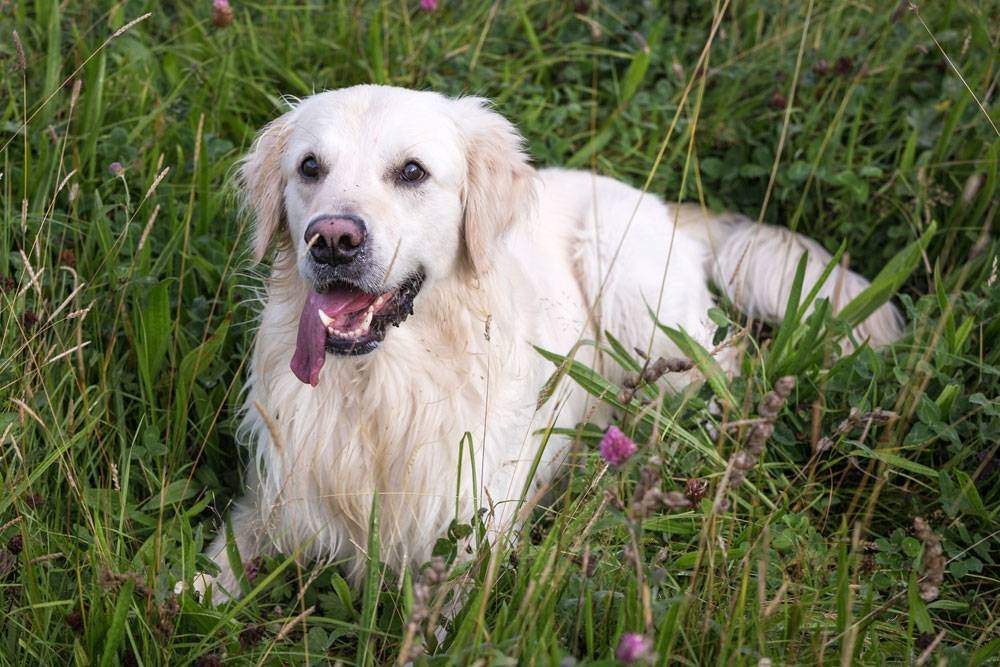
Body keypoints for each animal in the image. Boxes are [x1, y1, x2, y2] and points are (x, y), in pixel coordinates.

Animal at [193, 86, 900, 604]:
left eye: (412, 172)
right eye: (309, 167)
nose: (333, 239)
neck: (380, 392)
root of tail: (660, 203)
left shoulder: (466, 546)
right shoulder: (271, 506)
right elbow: (196, 584)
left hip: (634, 296)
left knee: (723, 371)